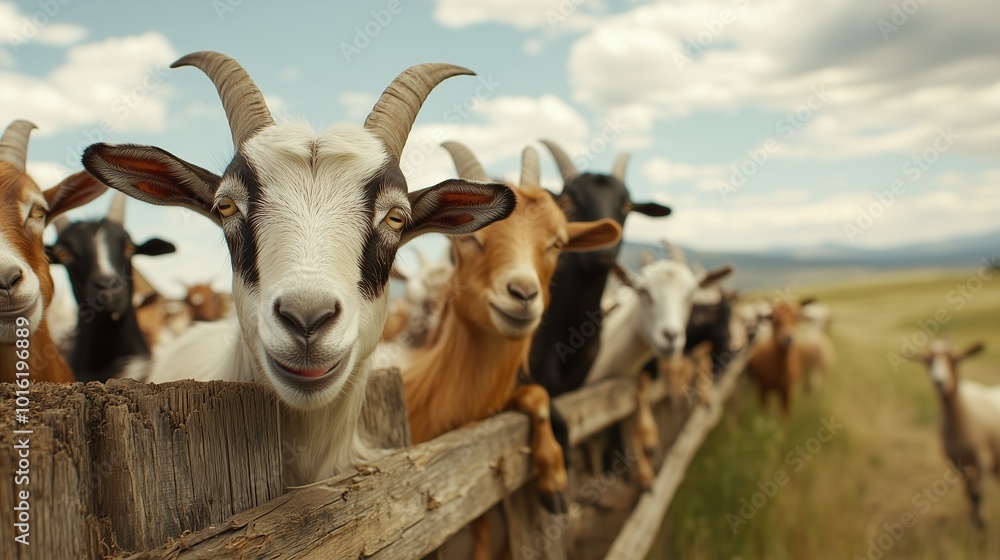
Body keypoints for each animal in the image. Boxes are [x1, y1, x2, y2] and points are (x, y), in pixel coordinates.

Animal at [909, 340, 999, 530]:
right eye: (928, 361)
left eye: (954, 359)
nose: (939, 382)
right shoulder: (957, 463)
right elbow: (969, 493)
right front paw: (975, 521)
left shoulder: (983, 459)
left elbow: (977, 493)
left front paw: (980, 524)